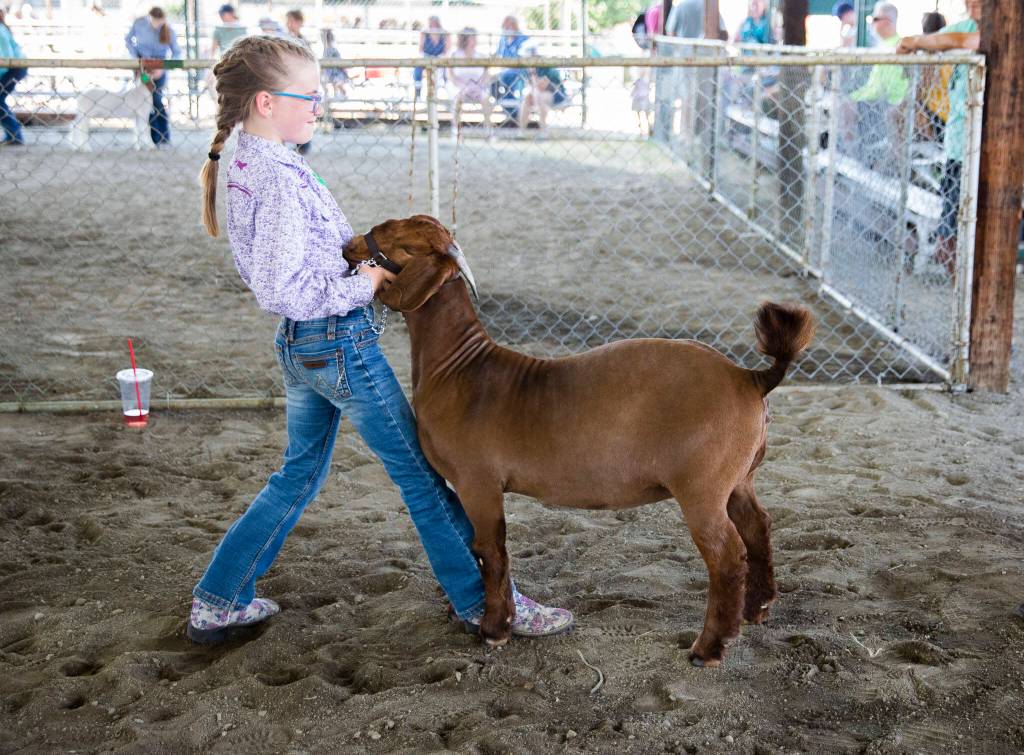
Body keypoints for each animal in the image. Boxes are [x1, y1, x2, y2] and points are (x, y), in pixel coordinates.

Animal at [343, 215, 815, 667]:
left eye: (392, 233)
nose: (348, 245)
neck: (462, 368)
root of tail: (749, 378)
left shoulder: (479, 482)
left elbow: (490, 550)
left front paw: (495, 628)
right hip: (738, 479)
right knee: (758, 526)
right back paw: (757, 608)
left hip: (703, 486)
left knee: (727, 555)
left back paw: (710, 647)